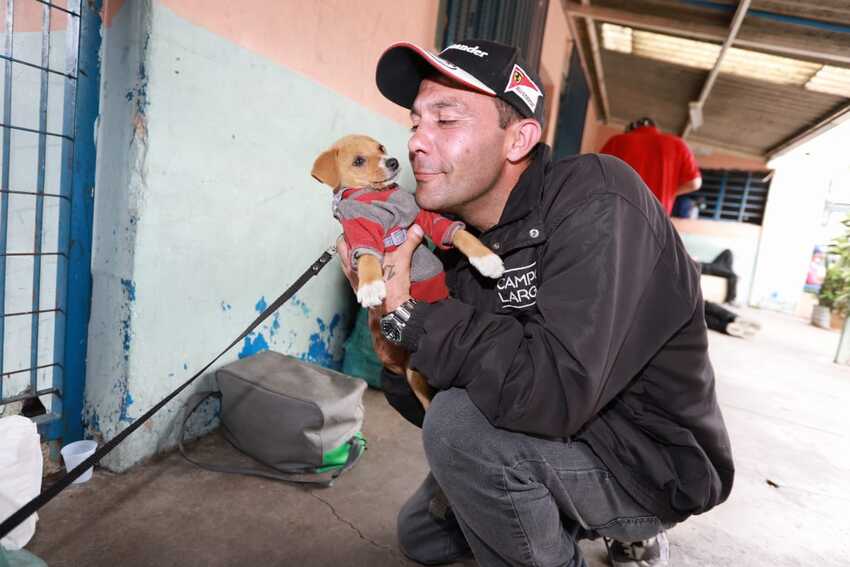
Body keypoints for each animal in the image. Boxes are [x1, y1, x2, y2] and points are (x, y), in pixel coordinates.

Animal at [314, 134, 504, 408]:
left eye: (380, 147)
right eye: (358, 161)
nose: (392, 161)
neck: (378, 195)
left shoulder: (423, 216)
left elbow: (458, 233)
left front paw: (487, 260)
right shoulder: (360, 230)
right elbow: (368, 257)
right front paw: (370, 287)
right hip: (413, 374)